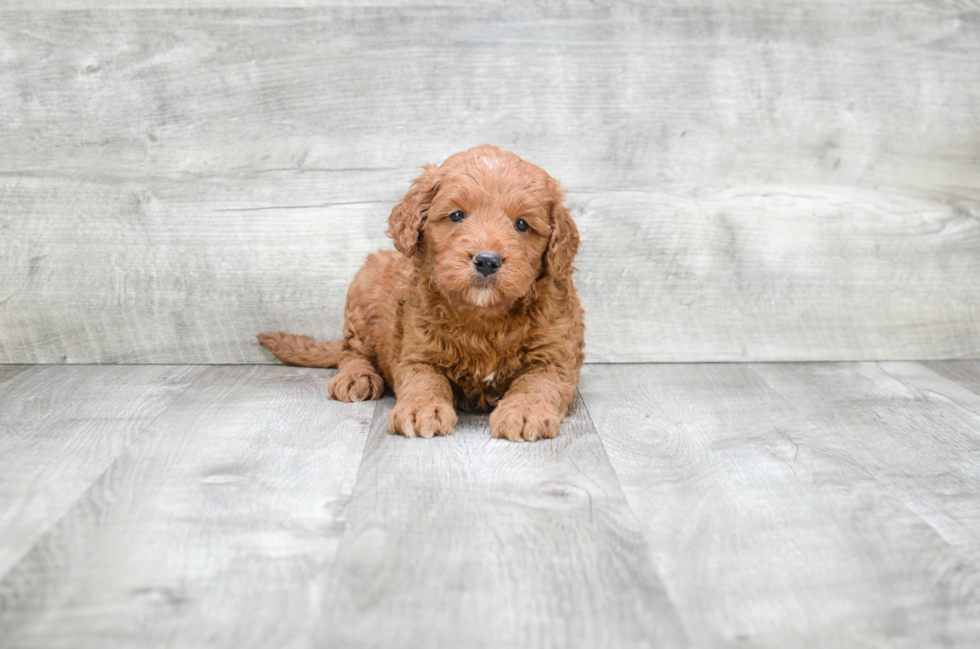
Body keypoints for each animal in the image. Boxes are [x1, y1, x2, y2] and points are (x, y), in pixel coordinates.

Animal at [256, 145, 584, 442]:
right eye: (457, 215)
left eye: (522, 224)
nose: (487, 260)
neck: (483, 317)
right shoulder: (417, 352)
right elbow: (424, 381)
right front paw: (422, 409)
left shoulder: (554, 357)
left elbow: (537, 383)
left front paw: (525, 410)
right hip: (362, 295)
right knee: (351, 352)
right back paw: (355, 376)